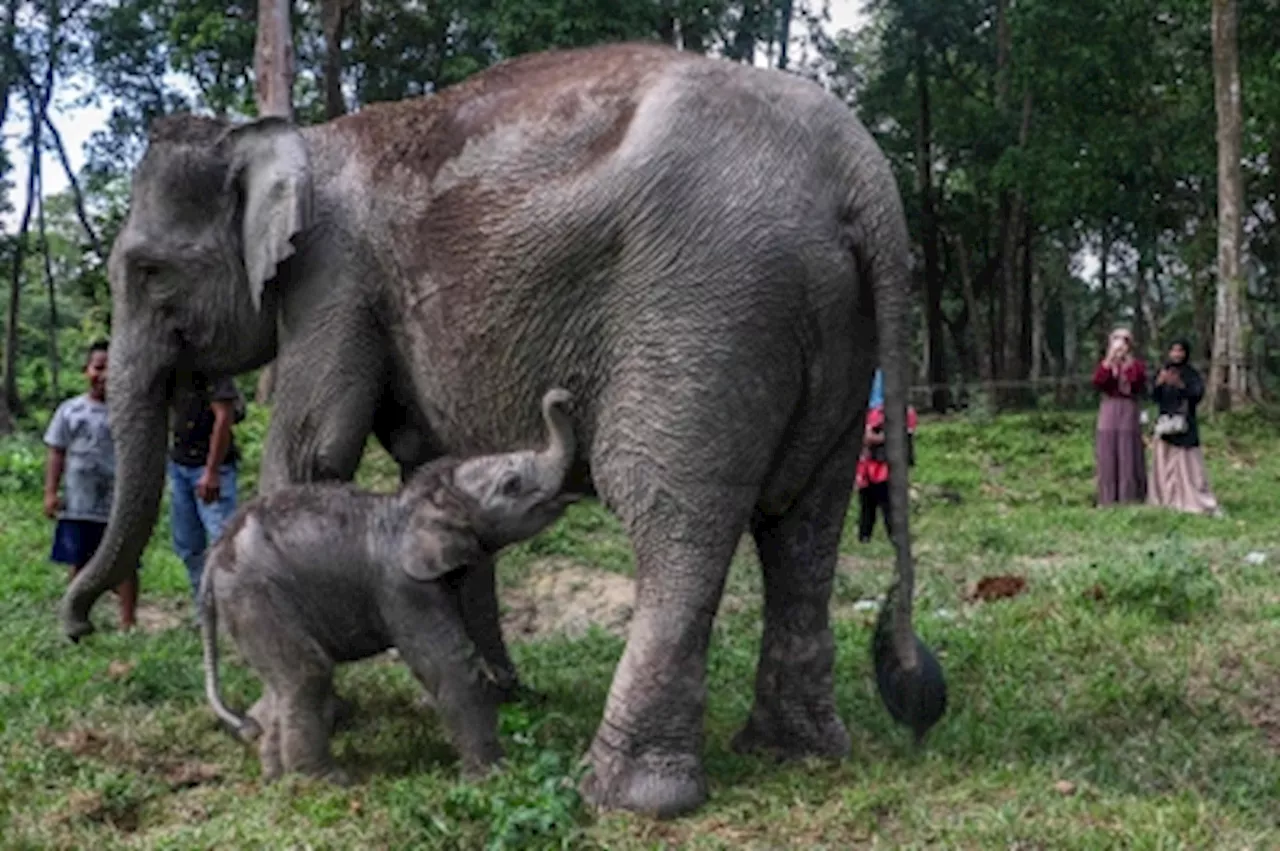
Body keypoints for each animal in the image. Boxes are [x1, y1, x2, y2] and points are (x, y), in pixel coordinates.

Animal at [200, 386, 581, 783]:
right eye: (511, 485)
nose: (564, 397)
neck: (420, 501)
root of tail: (214, 556)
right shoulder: (403, 587)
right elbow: (450, 665)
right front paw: (492, 777)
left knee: (282, 683)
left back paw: (277, 777)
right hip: (257, 598)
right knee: (307, 674)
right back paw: (326, 782)